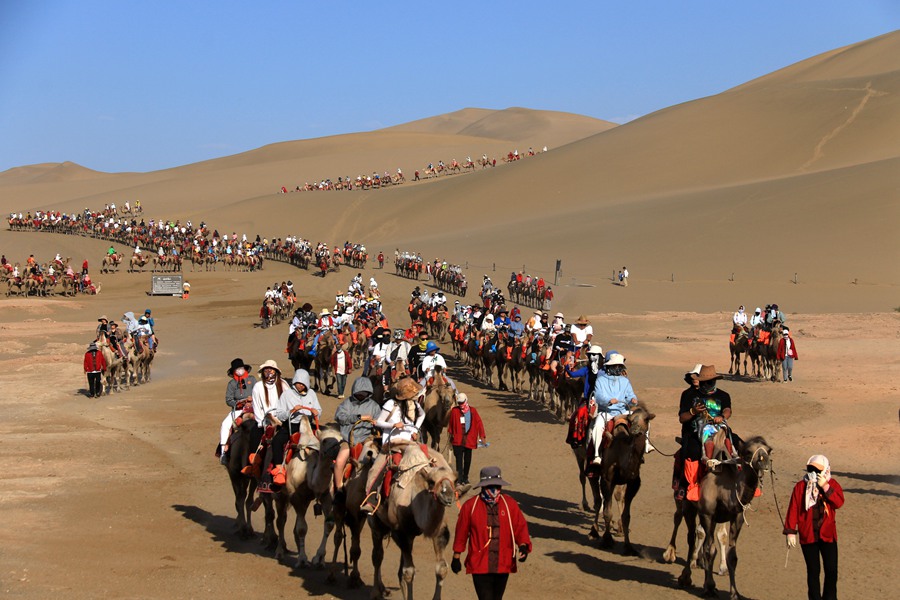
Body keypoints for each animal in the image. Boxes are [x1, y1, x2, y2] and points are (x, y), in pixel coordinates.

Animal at [370, 440, 458, 600]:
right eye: (431, 481)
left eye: (455, 480)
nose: (448, 495)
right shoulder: (401, 532)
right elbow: (409, 572)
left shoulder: (439, 532)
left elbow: (441, 568)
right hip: (375, 522)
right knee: (378, 555)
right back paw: (376, 591)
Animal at [592, 400, 652, 556]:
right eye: (631, 420)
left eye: (646, 419)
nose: (636, 430)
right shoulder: (607, 479)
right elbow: (607, 512)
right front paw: (607, 541)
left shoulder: (633, 483)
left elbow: (626, 516)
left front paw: (628, 546)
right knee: (597, 498)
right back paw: (594, 530)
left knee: (615, 497)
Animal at [676, 432, 772, 600]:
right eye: (748, 452)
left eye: (769, 450)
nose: (764, 462)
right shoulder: (707, 515)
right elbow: (709, 549)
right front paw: (709, 588)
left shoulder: (737, 517)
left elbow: (732, 556)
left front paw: (734, 593)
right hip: (689, 507)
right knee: (691, 538)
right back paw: (685, 577)